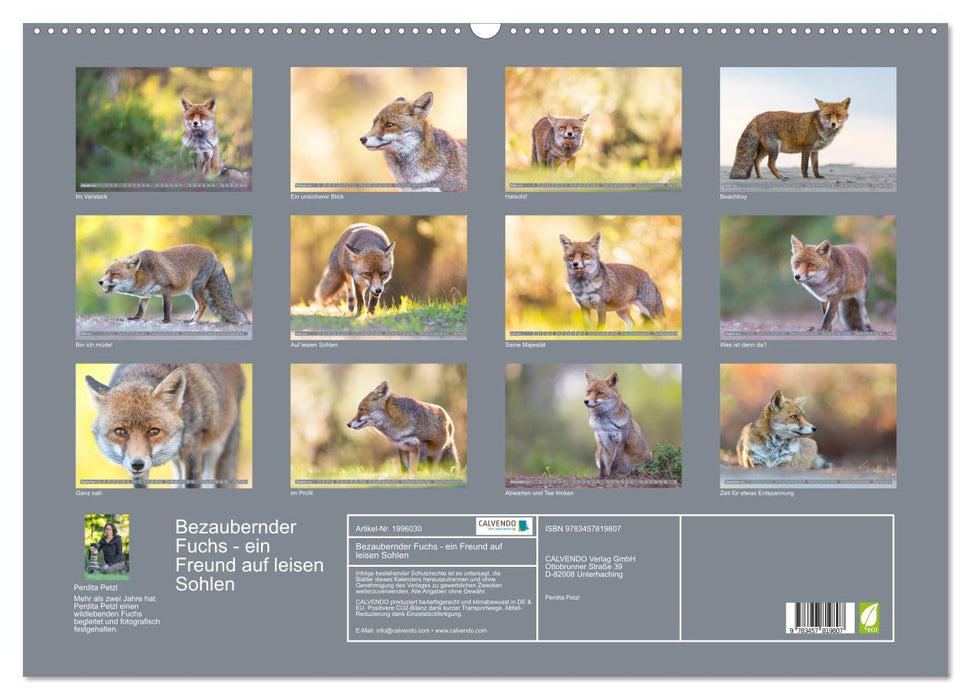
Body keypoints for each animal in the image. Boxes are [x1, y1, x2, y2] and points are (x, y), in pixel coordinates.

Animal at [97, 244, 249, 324]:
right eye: (106, 273)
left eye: (114, 274)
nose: (100, 282)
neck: (146, 271)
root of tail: (214, 254)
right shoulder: (146, 294)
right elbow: (141, 309)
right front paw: (136, 318)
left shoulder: (166, 288)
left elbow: (166, 307)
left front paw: (166, 321)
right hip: (191, 292)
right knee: (198, 305)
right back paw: (190, 319)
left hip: (196, 289)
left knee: (203, 304)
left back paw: (194, 322)